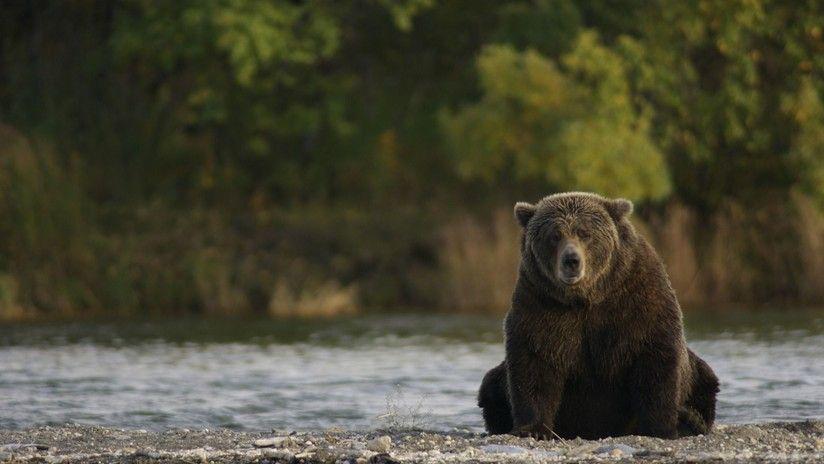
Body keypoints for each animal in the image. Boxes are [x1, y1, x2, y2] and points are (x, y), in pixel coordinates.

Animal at [480, 191, 716, 438]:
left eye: (585, 233)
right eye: (554, 235)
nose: (571, 260)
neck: (586, 297)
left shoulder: (637, 298)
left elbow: (655, 359)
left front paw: (659, 428)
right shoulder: (540, 303)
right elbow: (535, 362)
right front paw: (533, 429)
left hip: (698, 375)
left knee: (705, 380)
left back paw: (689, 420)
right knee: (491, 385)